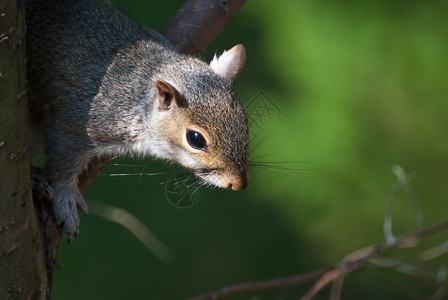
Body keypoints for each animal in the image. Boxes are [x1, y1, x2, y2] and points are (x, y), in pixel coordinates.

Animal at [25, 0, 248, 239]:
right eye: (195, 139)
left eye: (245, 120)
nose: (238, 183)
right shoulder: (77, 120)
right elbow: (61, 165)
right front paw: (65, 198)